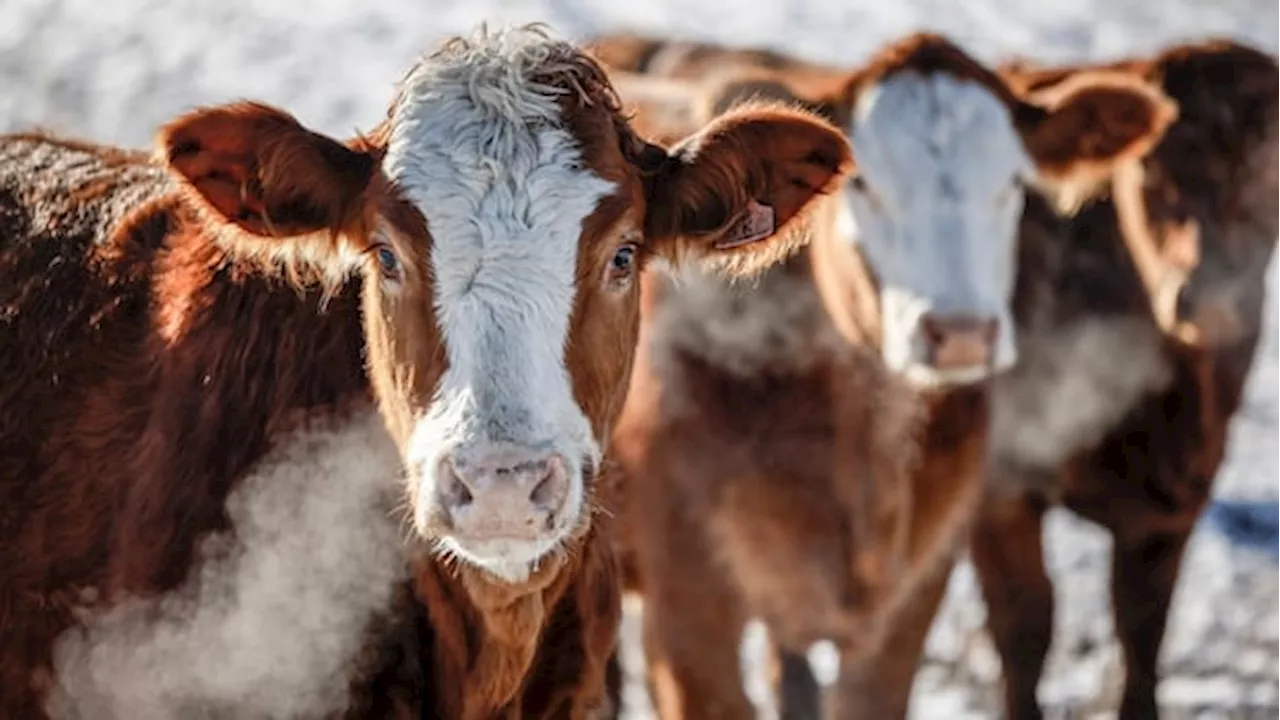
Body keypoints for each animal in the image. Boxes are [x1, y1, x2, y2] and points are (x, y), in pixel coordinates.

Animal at [967, 40, 1280, 717]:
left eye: (1273, 175)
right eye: (1149, 173)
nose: (1209, 295)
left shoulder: (1172, 506)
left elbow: (1142, 634)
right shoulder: (1001, 484)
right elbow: (1026, 629)